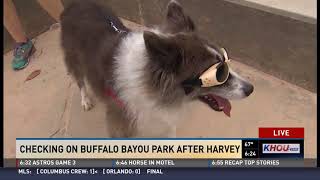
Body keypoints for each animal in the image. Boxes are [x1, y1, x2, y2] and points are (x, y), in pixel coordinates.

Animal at [61, 0, 254, 138]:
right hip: (74, 58)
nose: (251, 89)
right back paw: (85, 99)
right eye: (218, 74)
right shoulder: (121, 124)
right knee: (79, 79)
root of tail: (75, 4)